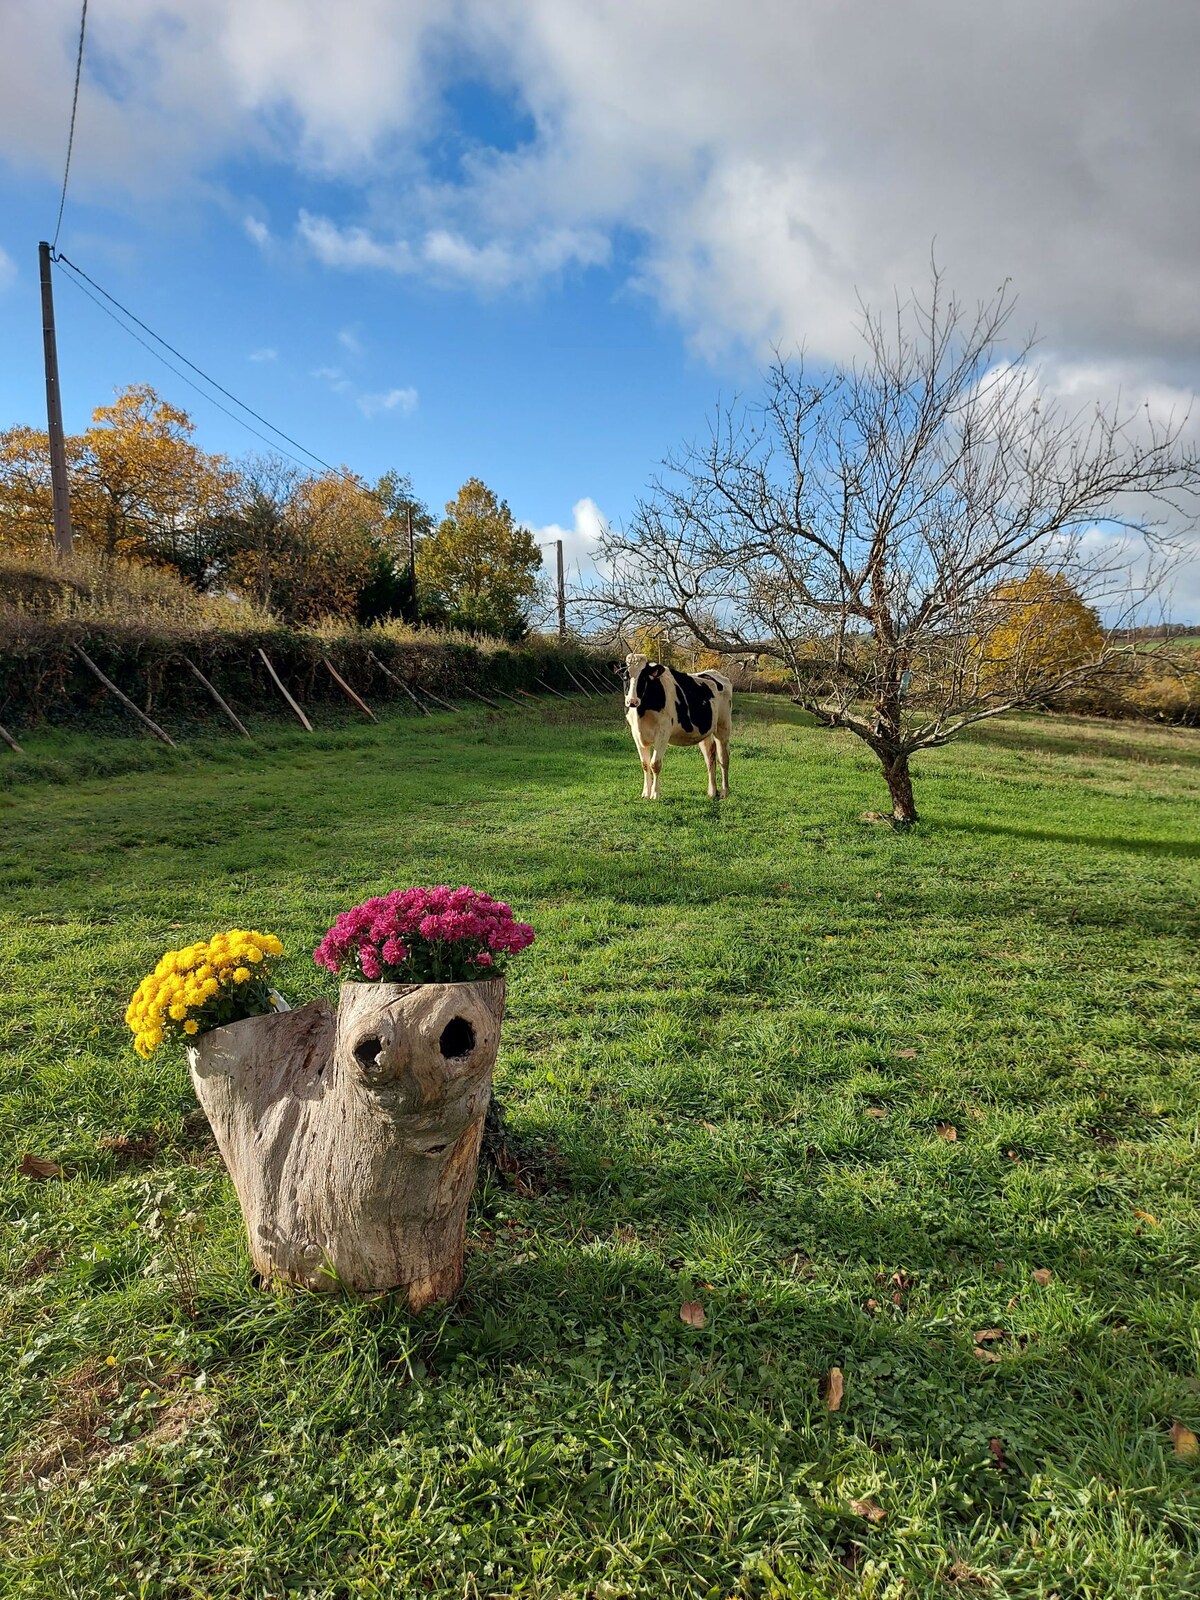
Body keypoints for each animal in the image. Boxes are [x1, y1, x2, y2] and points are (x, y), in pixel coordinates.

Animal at [620, 649, 732, 800]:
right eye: (625, 677)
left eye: (643, 678)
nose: (632, 701)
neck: (641, 711)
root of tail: (715, 673)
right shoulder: (636, 733)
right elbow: (645, 764)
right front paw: (645, 793)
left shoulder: (663, 733)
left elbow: (655, 764)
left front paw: (655, 794)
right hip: (705, 732)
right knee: (710, 757)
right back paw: (712, 792)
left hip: (723, 727)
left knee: (723, 759)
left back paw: (724, 792)